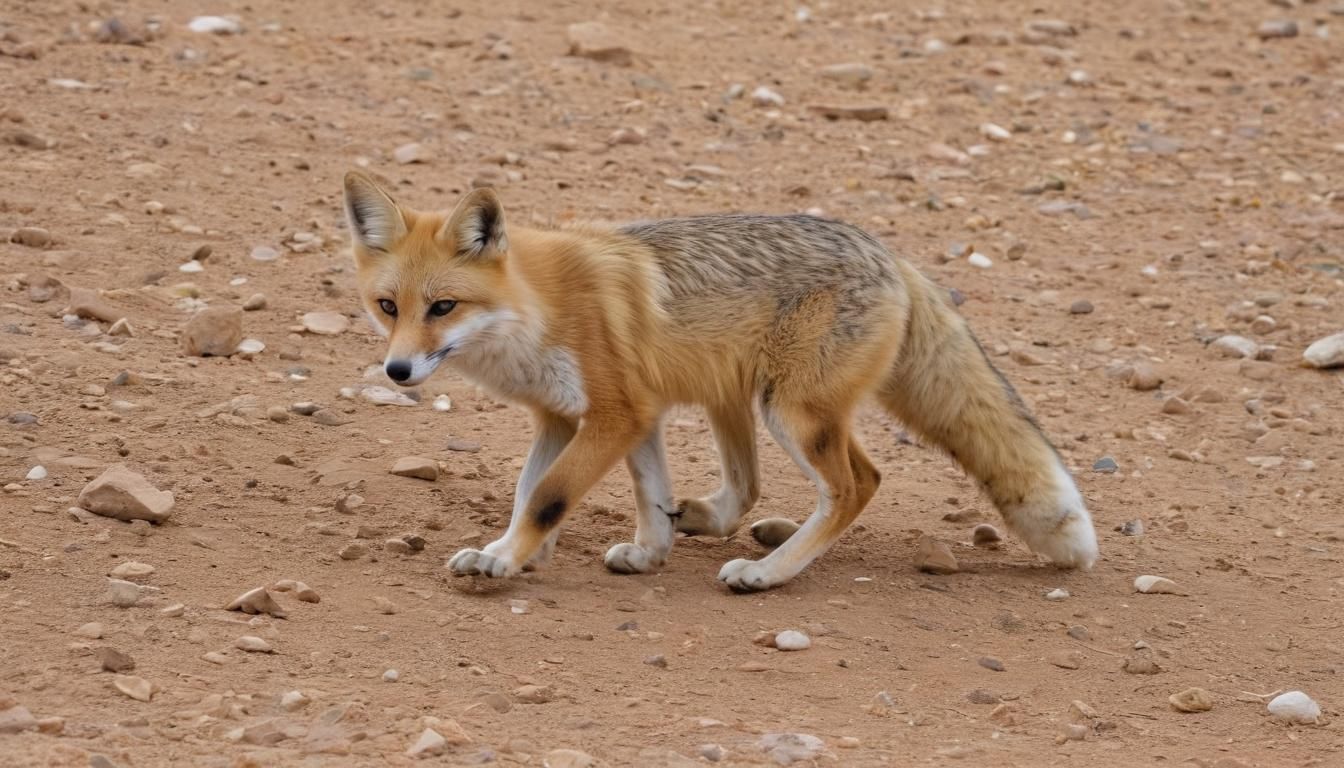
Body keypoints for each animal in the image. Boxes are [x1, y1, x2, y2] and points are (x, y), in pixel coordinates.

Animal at [342, 170, 1099, 592]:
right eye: (388, 307)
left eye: (443, 307)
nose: (398, 370)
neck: (537, 308)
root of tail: (889, 253)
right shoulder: (579, 415)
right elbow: (558, 493)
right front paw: (633, 552)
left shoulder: (614, 413)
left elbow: (550, 497)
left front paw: (510, 562)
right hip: (740, 396)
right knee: (762, 484)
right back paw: (728, 525)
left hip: (791, 411)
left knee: (858, 484)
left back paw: (768, 573)